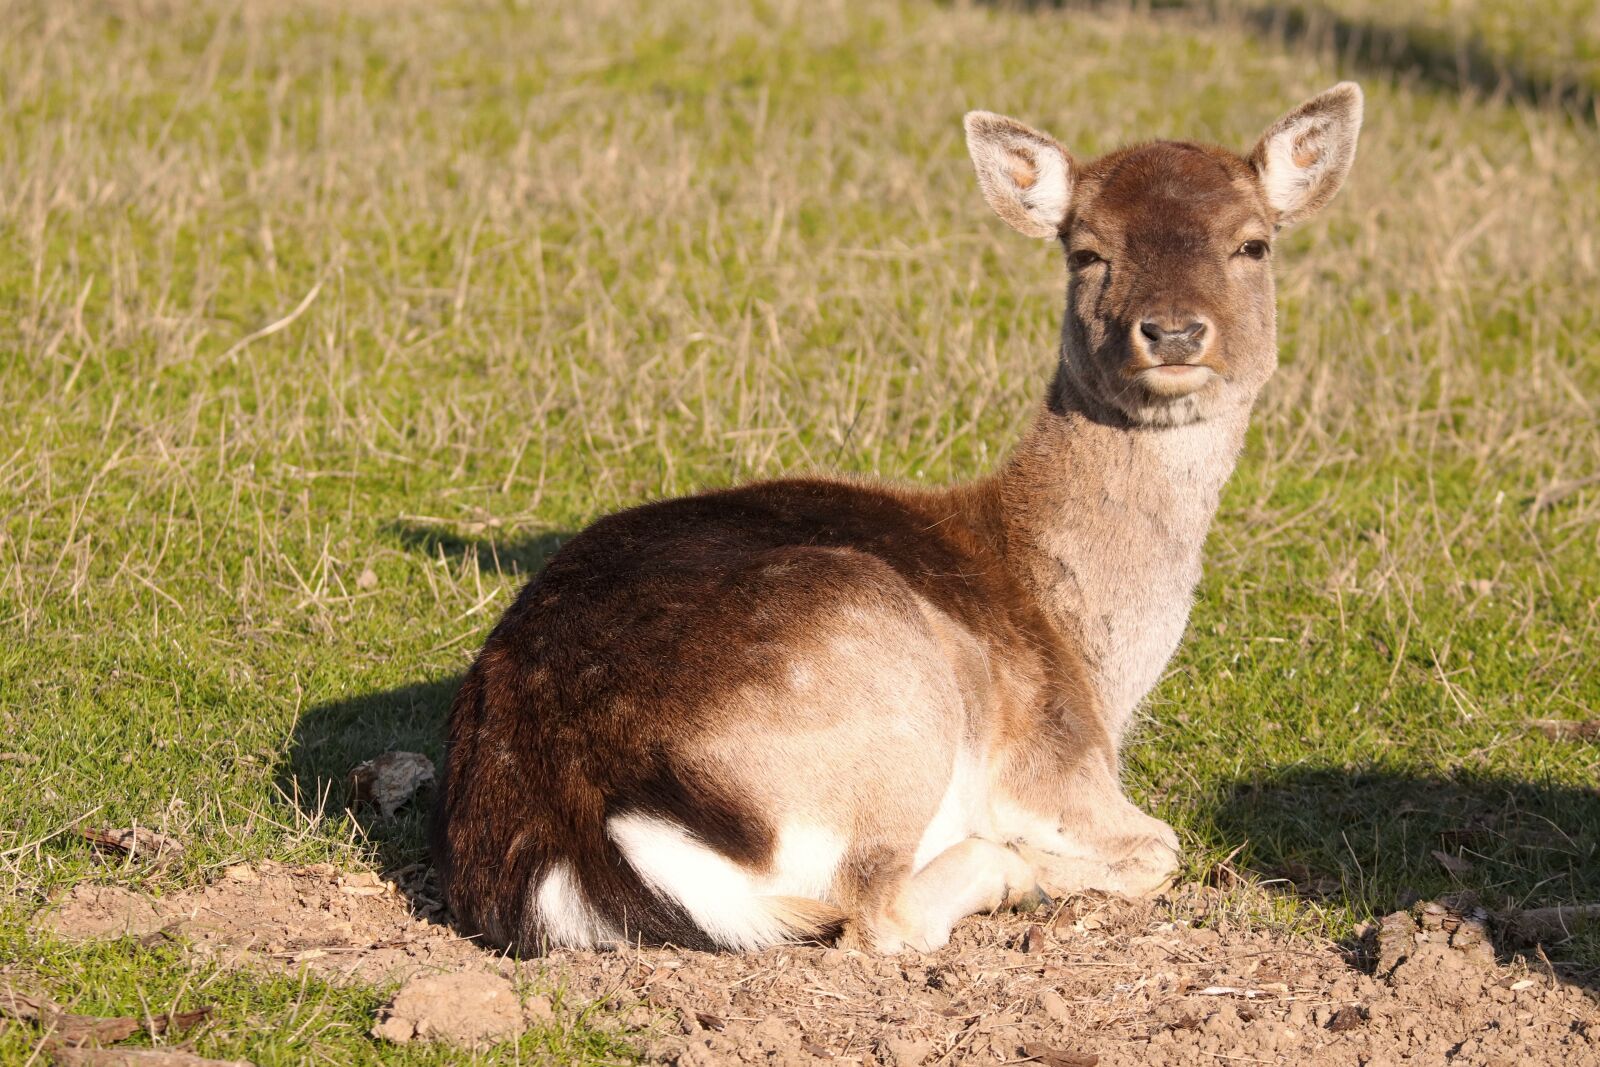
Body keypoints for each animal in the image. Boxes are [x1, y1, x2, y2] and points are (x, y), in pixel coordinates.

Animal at [432, 84, 1363, 954]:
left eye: (1253, 242)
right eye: (1088, 250)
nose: (1171, 332)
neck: (1098, 664)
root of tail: (573, 837)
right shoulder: (1057, 763)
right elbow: (1160, 844)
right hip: (890, 684)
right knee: (881, 909)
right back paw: (1010, 870)